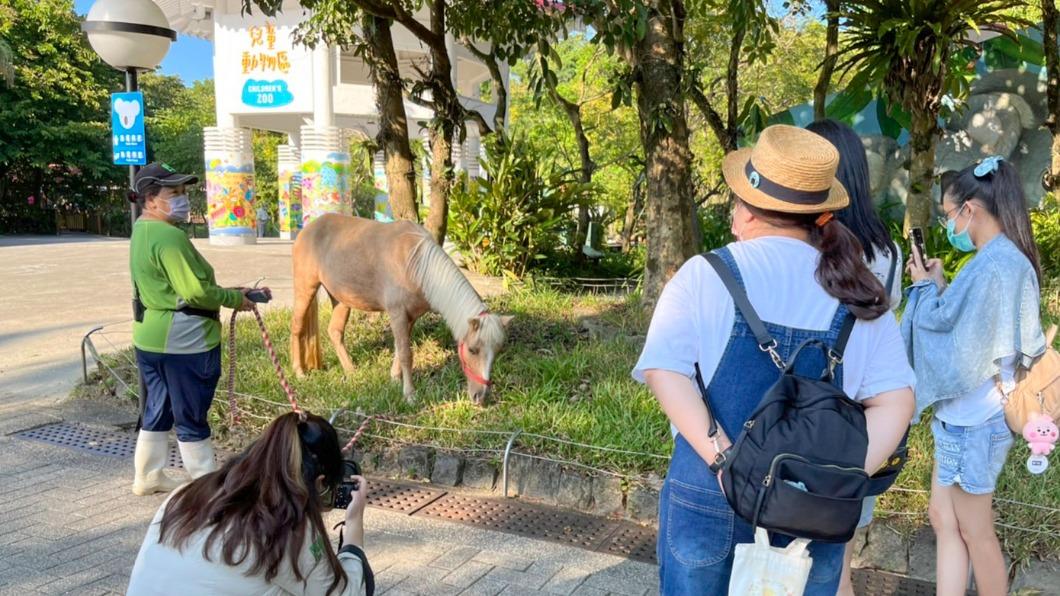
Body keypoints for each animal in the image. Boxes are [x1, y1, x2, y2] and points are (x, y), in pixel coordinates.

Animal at [292, 213, 510, 402]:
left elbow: (400, 350)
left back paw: (351, 371)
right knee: (297, 328)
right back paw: (299, 372)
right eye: (473, 350)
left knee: (335, 331)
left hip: (342, 299)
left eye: (497, 351)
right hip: (305, 288)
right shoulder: (397, 313)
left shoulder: (410, 317)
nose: (480, 397)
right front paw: (410, 394)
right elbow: (406, 353)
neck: (415, 264)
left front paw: (395, 379)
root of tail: (308, 228)